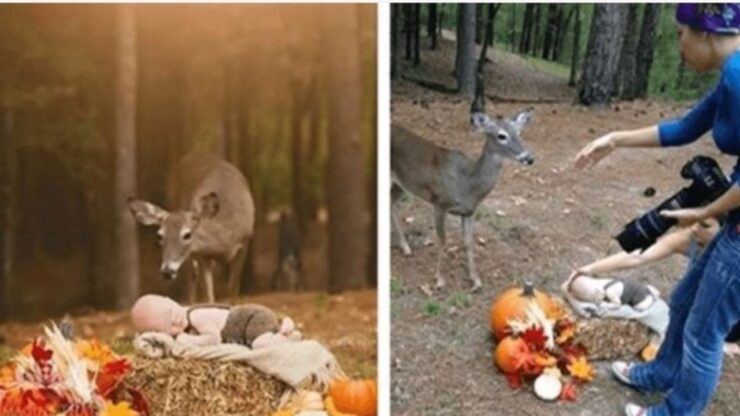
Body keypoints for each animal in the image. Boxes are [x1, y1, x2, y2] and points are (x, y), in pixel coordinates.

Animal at [128, 152, 254, 302]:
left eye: (187, 235)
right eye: (160, 236)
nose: (167, 271)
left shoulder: (243, 245)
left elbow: (233, 292)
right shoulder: (203, 254)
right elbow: (209, 296)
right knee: (193, 274)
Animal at [394, 79, 532, 292]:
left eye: (519, 132)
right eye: (501, 136)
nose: (529, 158)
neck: (467, 184)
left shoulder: (469, 211)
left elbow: (468, 242)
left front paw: (475, 280)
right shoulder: (439, 202)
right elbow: (442, 239)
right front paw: (439, 279)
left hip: (401, 185)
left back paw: (405, 247)